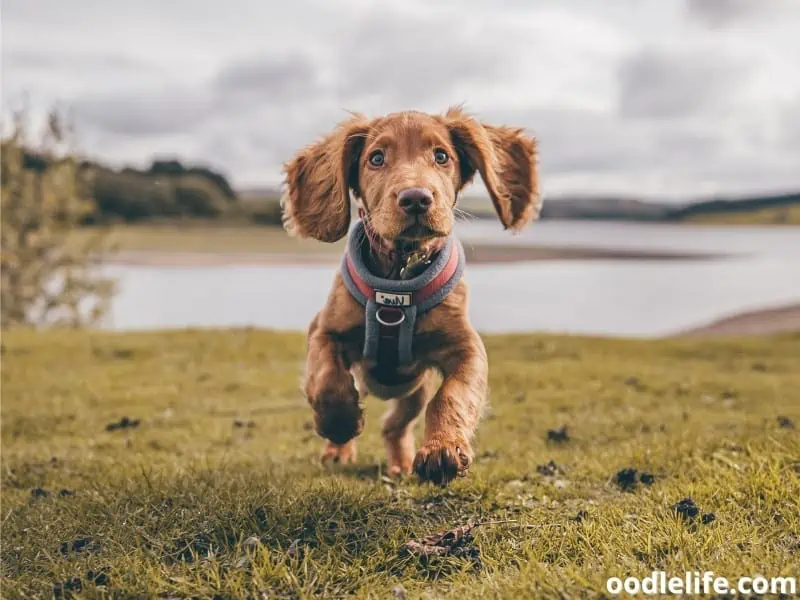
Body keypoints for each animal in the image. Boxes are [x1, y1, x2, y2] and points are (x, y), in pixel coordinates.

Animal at [282, 105, 544, 486]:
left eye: (441, 156)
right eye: (376, 158)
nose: (416, 199)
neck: (399, 276)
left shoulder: (467, 348)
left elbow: (452, 396)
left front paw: (442, 449)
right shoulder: (323, 330)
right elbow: (328, 380)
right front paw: (340, 424)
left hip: (413, 391)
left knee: (394, 426)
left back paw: (401, 464)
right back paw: (338, 451)